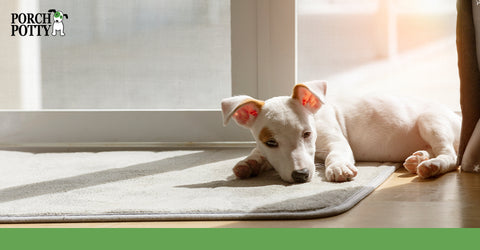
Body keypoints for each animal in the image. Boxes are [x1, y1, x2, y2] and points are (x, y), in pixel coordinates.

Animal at [222, 80, 462, 184]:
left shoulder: (335, 141)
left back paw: (432, 165)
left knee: (451, 156)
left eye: (307, 134)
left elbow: (336, 154)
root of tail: (459, 119)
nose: (301, 175)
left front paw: (338, 168)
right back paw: (418, 158)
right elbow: (257, 153)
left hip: (430, 121)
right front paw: (248, 163)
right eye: (271, 142)